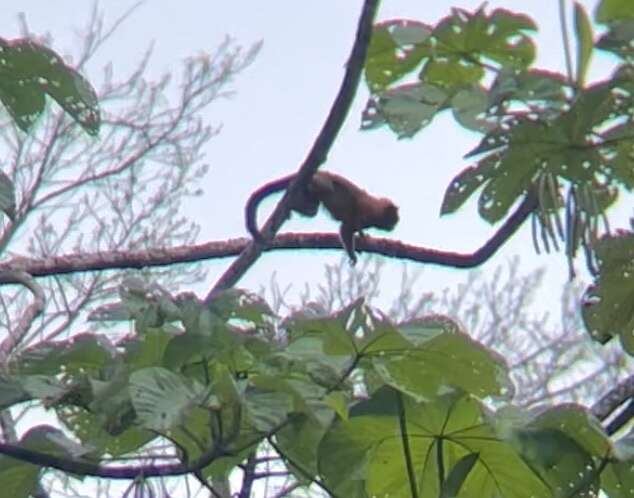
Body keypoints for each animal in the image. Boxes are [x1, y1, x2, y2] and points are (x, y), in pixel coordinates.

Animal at [244, 171, 398, 264]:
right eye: (394, 219)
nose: (394, 226)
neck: (376, 212)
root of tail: (319, 172)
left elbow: (347, 230)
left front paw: (361, 241)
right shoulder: (366, 213)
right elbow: (345, 228)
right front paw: (353, 254)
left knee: (312, 210)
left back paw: (292, 205)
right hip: (319, 181)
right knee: (326, 188)